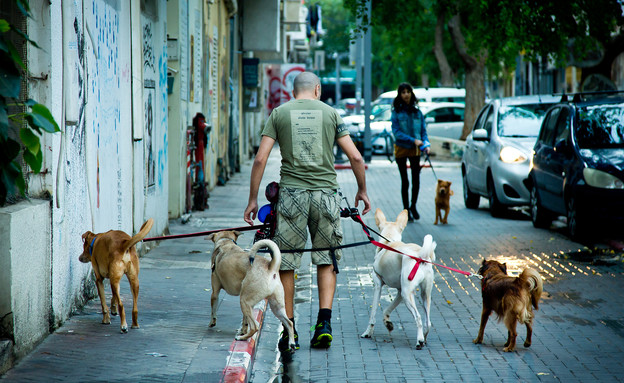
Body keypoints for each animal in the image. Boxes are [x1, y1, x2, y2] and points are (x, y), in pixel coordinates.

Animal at [358, 208, 436, 350]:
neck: (389, 241)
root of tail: (420, 255)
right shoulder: (399, 292)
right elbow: (387, 309)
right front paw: (388, 323)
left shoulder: (378, 285)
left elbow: (373, 314)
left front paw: (368, 332)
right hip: (423, 295)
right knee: (428, 322)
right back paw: (424, 338)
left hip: (407, 295)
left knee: (418, 318)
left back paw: (419, 341)